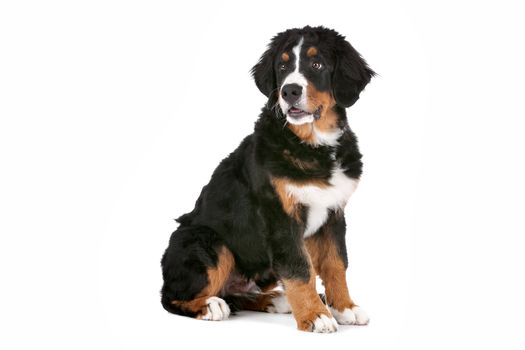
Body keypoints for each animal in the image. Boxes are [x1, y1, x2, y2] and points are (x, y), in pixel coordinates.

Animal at [162, 26, 374, 332]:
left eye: (317, 64)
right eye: (282, 66)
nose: (289, 91)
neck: (314, 144)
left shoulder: (334, 213)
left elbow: (336, 263)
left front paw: (344, 307)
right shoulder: (280, 216)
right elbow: (300, 269)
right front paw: (315, 315)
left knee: (238, 294)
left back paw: (277, 300)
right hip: (205, 239)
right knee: (172, 297)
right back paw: (210, 305)